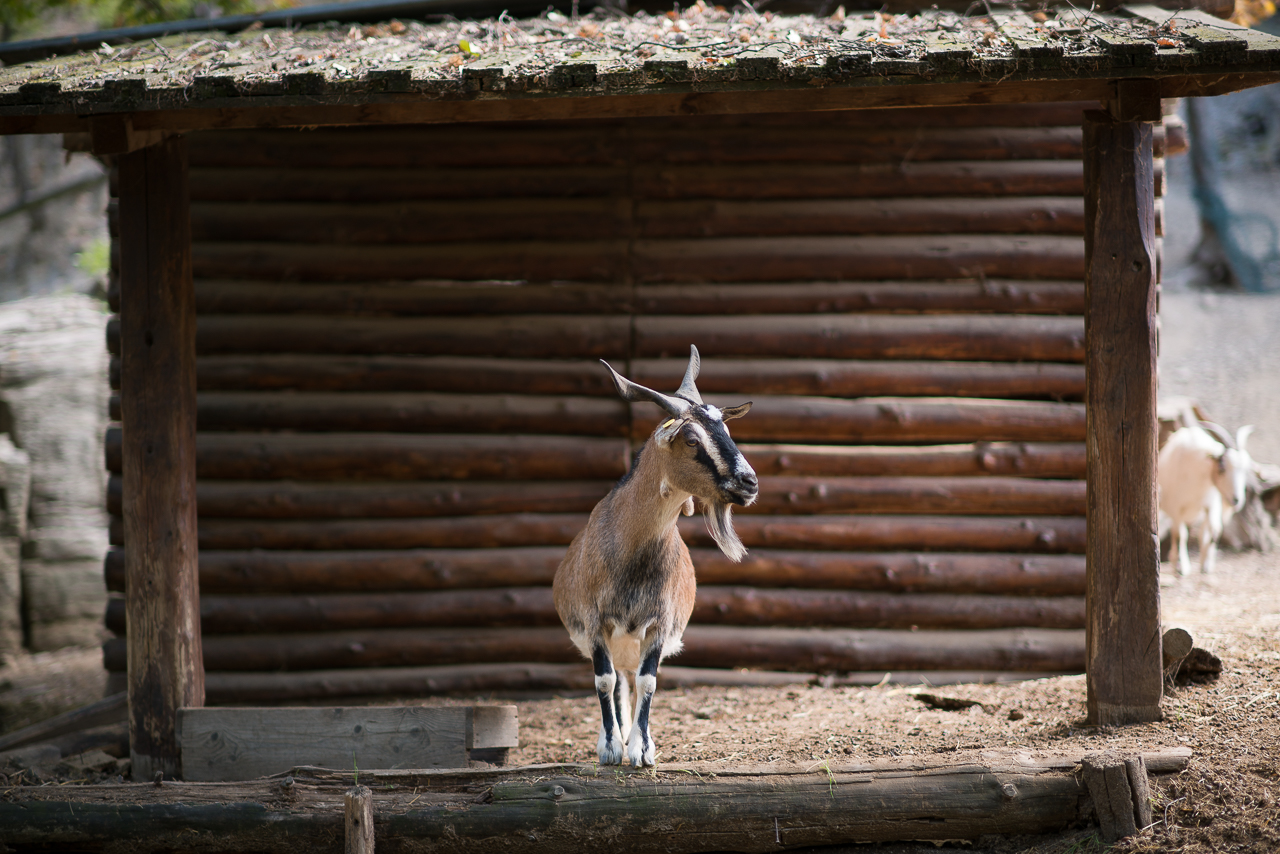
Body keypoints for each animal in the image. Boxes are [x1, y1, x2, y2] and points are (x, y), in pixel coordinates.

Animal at [552, 348, 757, 768]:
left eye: (727, 432)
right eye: (692, 439)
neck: (630, 553)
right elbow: (604, 680)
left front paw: (642, 749)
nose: (750, 483)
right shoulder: (595, 623)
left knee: (631, 679)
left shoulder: (660, 624)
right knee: (617, 681)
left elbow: (648, 681)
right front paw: (611, 748)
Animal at [1162, 419, 1249, 573]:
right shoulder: (1177, 508)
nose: (1236, 500)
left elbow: (1213, 531)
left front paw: (1206, 565)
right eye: (1222, 468)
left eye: (1244, 470)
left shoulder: (1211, 503)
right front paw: (1182, 568)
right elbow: (1180, 534)